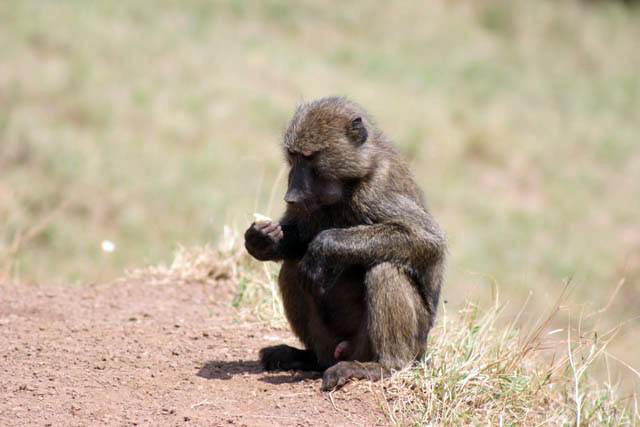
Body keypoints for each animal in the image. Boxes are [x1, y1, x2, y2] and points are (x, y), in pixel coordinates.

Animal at [244, 97, 446, 390]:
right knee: (292, 268)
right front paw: (263, 239)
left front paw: (324, 246)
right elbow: (299, 238)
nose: (291, 196)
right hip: (330, 342)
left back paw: (384, 367)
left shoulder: (377, 189)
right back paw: (307, 358)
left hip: (400, 344)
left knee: (385, 269)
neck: (351, 180)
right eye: (293, 156)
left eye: (309, 157)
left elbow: (427, 239)